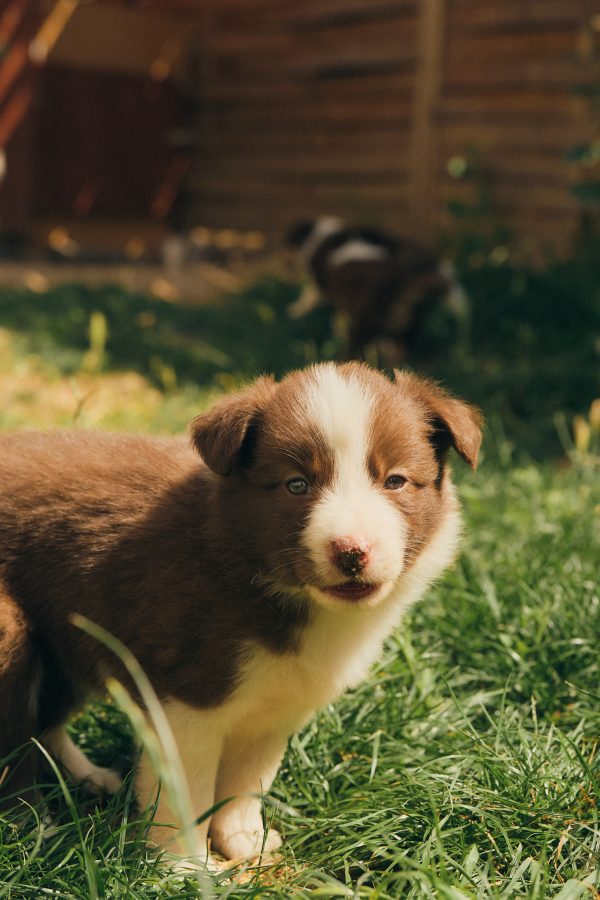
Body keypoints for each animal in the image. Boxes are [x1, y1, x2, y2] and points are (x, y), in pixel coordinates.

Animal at [0, 360, 480, 864]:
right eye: (296, 484)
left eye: (396, 481)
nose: (352, 552)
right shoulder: (185, 698)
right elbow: (187, 793)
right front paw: (185, 865)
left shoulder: (279, 702)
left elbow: (251, 777)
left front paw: (246, 840)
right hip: (13, 633)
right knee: (15, 745)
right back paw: (34, 829)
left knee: (44, 722)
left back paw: (87, 778)